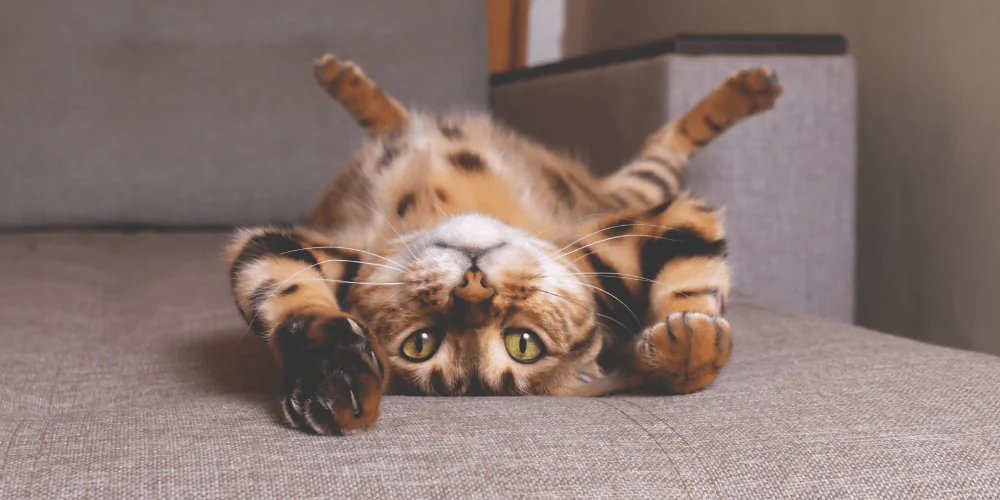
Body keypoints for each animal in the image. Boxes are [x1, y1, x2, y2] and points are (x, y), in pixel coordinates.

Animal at [227, 51, 780, 434]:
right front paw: (332, 377)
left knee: (666, 145)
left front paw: (688, 345)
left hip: (613, 194)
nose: (474, 288)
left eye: (523, 344)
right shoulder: (303, 252)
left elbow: (695, 287)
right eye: (420, 343)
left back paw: (753, 88)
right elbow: (286, 299)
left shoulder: (665, 219)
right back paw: (346, 81)